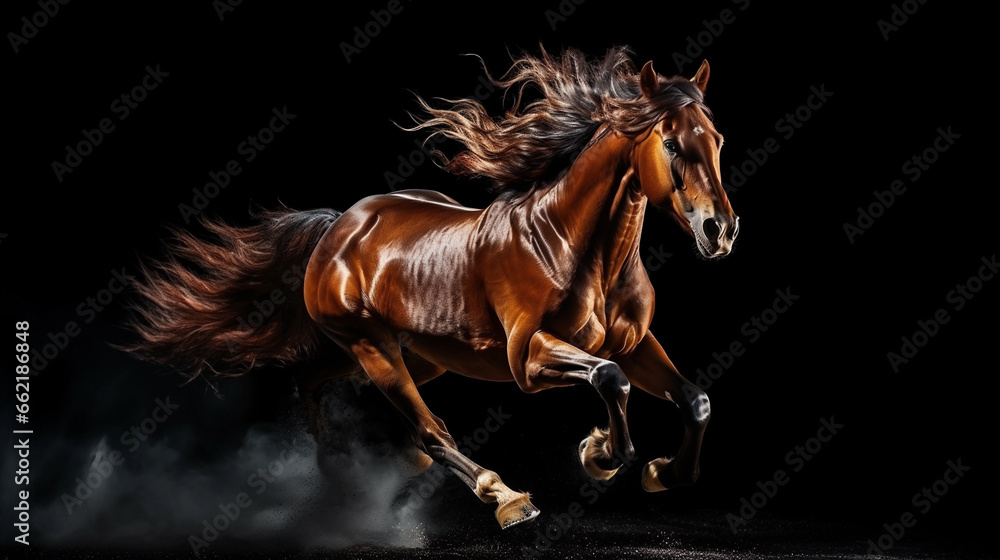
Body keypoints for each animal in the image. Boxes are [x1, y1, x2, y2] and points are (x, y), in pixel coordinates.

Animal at [124, 46, 738, 530]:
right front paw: (600, 454)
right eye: (671, 144)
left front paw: (664, 472)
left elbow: (694, 399)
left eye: (717, 139)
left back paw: (340, 467)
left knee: (316, 380)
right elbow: (610, 380)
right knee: (430, 430)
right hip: (374, 349)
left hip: (418, 356)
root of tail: (337, 227)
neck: (574, 246)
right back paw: (503, 497)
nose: (721, 230)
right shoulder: (529, 358)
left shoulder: (635, 344)